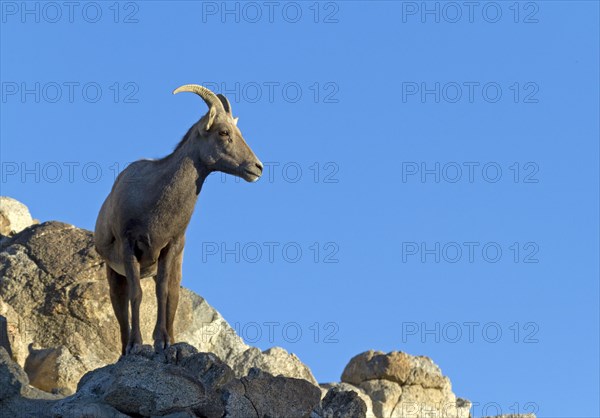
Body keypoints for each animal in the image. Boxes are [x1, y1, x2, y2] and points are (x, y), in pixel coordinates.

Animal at [94, 85, 262, 356]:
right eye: (223, 132)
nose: (257, 168)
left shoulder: (169, 247)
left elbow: (163, 293)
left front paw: (161, 342)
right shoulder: (130, 247)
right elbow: (137, 295)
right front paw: (136, 344)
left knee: (172, 297)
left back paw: (172, 342)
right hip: (115, 273)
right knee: (120, 307)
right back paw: (125, 350)